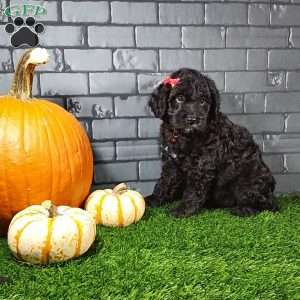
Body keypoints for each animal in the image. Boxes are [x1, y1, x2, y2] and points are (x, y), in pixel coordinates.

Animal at [145, 69, 278, 217]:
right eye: (179, 98)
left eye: (203, 101)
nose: (192, 120)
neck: (183, 135)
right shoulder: (170, 161)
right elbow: (165, 181)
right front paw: (153, 199)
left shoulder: (202, 164)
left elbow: (194, 189)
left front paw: (182, 210)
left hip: (249, 183)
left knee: (268, 205)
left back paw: (244, 209)